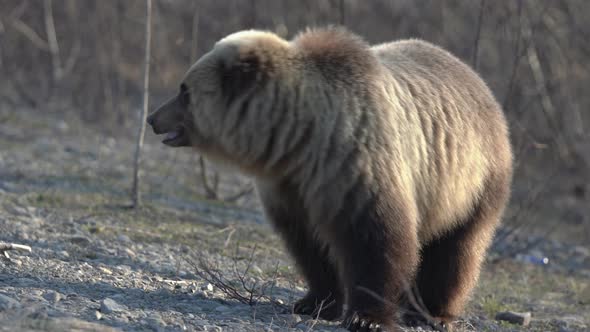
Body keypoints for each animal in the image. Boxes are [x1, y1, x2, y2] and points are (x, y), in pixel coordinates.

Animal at [147, 26, 512, 332]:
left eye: (184, 90)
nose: (153, 118)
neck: (300, 137)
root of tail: (480, 83)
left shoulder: (357, 164)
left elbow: (377, 240)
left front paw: (367, 318)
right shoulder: (292, 186)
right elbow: (310, 246)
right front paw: (315, 302)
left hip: (472, 180)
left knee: (456, 250)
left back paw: (432, 313)